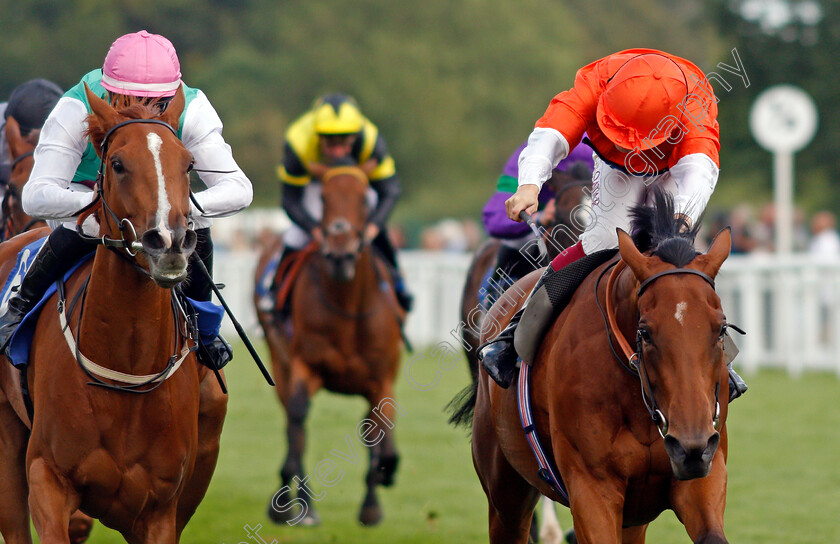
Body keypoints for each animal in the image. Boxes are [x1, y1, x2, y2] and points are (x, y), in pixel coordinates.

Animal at [0, 83, 226, 540]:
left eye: (189, 164)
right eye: (118, 164)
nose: (168, 242)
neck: (127, 367)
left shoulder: (159, 511)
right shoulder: (47, 477)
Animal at [254, 166, 406, 528]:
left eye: (365, 198)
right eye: (323, 197)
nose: (340, 254)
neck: (347, 305)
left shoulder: (381, 379)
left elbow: (377, 431)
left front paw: (373, 500)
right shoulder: (304, 367)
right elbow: (298, 423)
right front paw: (296, 504)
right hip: (278, 360)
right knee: (292, 421)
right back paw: (298, 504)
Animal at [460, 192, 736, 544]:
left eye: (721, 329)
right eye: (645, 332)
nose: (690, 444)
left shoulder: (704, 474)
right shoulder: (591, 486)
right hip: (505, 493)